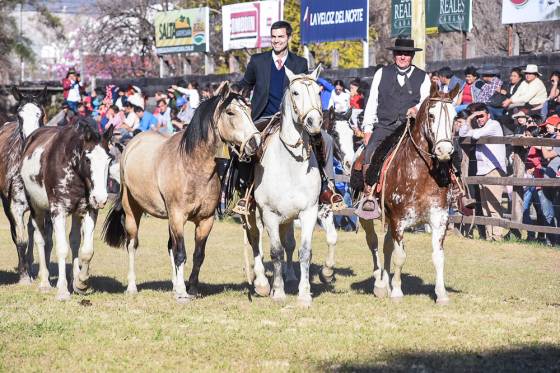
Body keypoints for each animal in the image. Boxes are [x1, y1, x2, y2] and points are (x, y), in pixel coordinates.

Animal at [20, 117, 113, 300]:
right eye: (88, 159)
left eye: (109, 160)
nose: (101, 198)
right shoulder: (59, 211)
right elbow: (62, 249)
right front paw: (62, 290)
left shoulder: (90, 211)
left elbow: (86, 250)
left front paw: (81, 282)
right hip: (37, 209)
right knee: (41, 240)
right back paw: (45, 283)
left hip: (75, 214)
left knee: (74, 241)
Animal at [103, 82, 260, 302]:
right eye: (230, 112)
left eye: (250, 111)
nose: (255, 143)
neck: (192, 166)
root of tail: (132, 143)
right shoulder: (178, 217)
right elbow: (181, 254)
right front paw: (184, 293)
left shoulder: (205, 220)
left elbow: (197, 255)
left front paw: (190, 288)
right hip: (132, 210)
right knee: (132, 244)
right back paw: (132, 286)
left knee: (170, 246)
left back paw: (175, 285)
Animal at [360, 83, 462, 302]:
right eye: (431, 115)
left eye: (455, 116)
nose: (444, 150)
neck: (421, 174)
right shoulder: (399, 219)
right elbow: (400, 256)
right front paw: (397, 292)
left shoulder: (439, 219)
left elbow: (438, 257)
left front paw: (441, 294)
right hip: (367, 217)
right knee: (373, 243)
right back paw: (379, 284)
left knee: (386, 246)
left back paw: (385, 283)